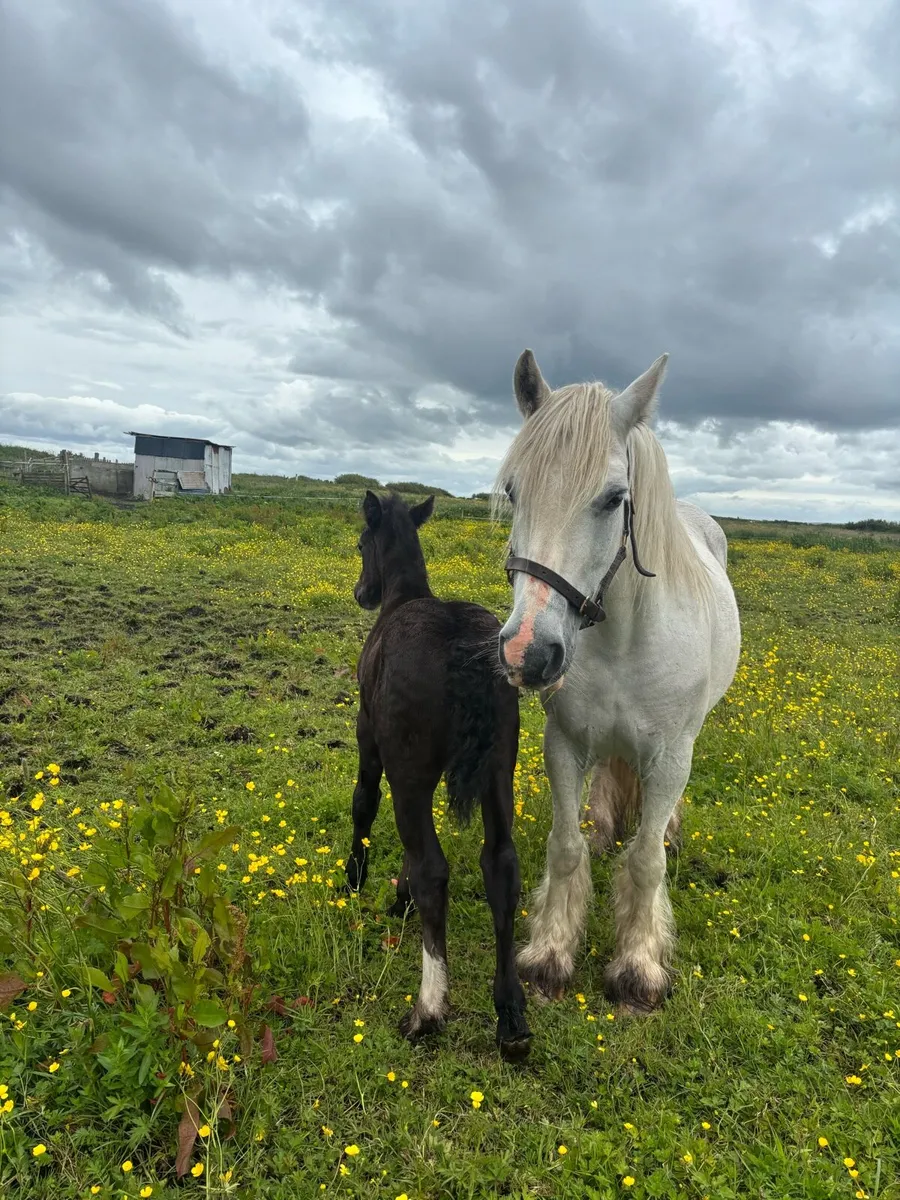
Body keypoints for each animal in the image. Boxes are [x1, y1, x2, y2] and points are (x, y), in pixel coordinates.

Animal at [346, 490, 532, 1059]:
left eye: (361, 543)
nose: (362, 592)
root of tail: (460, 645)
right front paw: (398, 898)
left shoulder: (371, 737)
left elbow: (364, 802)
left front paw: (356, 879)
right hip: (498, 773)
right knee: (501, 864)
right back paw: (510, 1015)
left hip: (411, 773)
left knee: (434, 868)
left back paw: (427, 1009)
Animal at [494, 350, 741, 1014]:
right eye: (514, 490)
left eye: (612, 499)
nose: (528, 653)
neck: (623, 638)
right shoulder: (564, 742)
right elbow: (565, 845)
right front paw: (549, 954)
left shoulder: (670, 755)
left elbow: (648, 862)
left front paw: (638, 967)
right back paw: (604, 826)